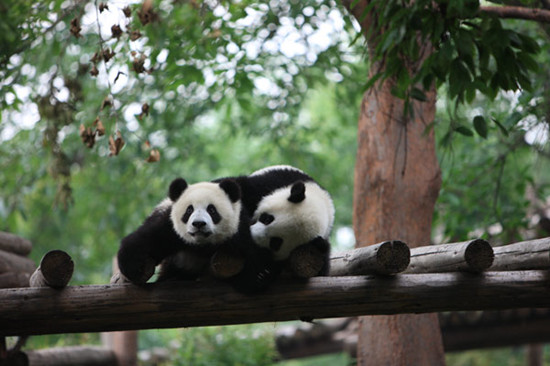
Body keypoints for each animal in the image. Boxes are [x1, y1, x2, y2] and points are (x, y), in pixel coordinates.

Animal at [119, 166, 336, 294]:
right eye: (267, 218)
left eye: (276, 242)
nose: (253, 236)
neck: (321, 201)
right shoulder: (270, 182)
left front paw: (260, 274)